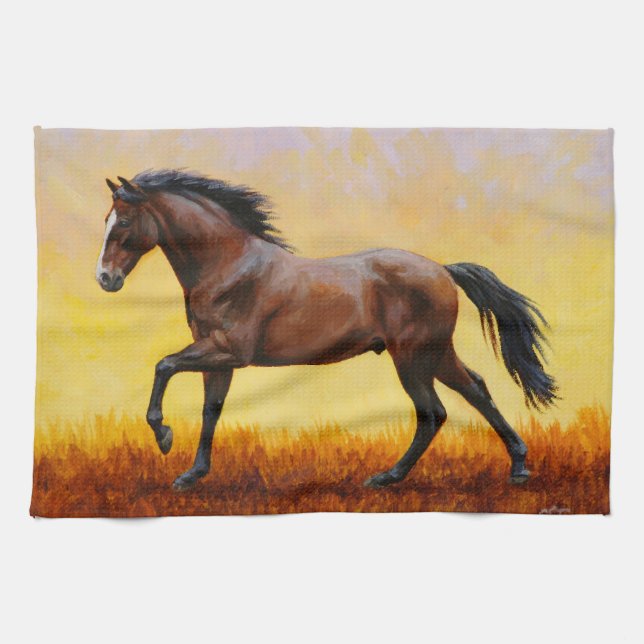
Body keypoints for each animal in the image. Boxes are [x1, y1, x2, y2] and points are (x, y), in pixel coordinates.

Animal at [96, 170, 557, 491]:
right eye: (106, 220)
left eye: (124, 223)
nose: (105, 279)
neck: (229, 266)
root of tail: (442, 270)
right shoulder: (217, 357)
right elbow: (212, 410)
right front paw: (192, 474)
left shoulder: (227, 351)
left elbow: (164, 365)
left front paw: (163, 437)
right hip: (435, 353)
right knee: (475, 389)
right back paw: (518, 467)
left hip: (412, 356)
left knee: (433, 413)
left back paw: (387, 478)